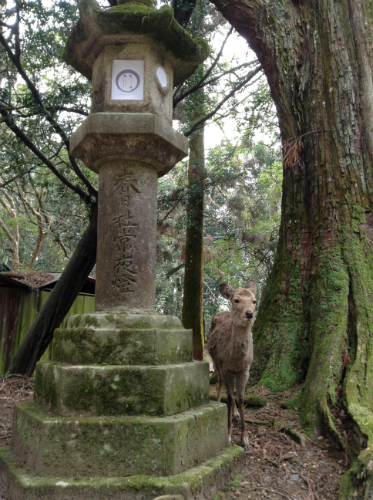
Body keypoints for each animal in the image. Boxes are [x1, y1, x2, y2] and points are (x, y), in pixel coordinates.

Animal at [206, 280, 256, 452]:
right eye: (236, 300)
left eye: (255, 301)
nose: (250, 313)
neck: (235, 359)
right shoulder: (226, 368)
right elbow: (229, 397)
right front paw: (228, 437)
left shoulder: (245, 370)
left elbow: (240, 399)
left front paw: (246, 440)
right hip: (215, 360)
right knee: (220, 381)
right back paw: (218, 402)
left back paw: (236, 414)